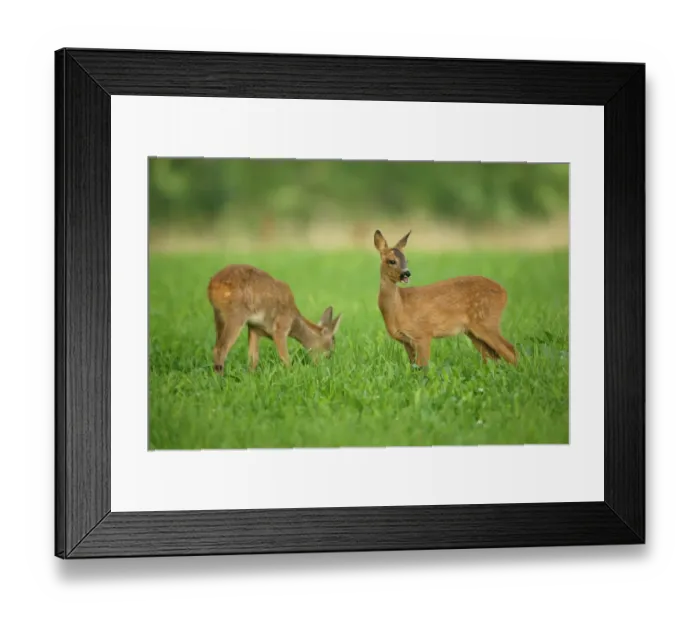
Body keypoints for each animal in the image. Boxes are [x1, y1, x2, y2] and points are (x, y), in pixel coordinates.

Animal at [207, 264, 343, 375]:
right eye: (330, 350)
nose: (325, 367)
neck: (294, 321)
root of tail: (212, 284)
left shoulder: (254, 328)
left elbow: (253, 359)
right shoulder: (280, 327)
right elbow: (285, 358)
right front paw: (292, 375)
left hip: (218, 315)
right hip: (236, 314)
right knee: (220, 349)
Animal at [373, 230, 517, 369]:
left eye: (406, 260)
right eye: (391, 261)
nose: (406, 273)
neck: (399, 307)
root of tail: (504, 292)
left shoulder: (423, 333)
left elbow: (423, 367)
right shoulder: (406, 341)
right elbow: (413, 366)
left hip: (487, 321)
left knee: (510, 350)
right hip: (473, 331)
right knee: (493, 356)